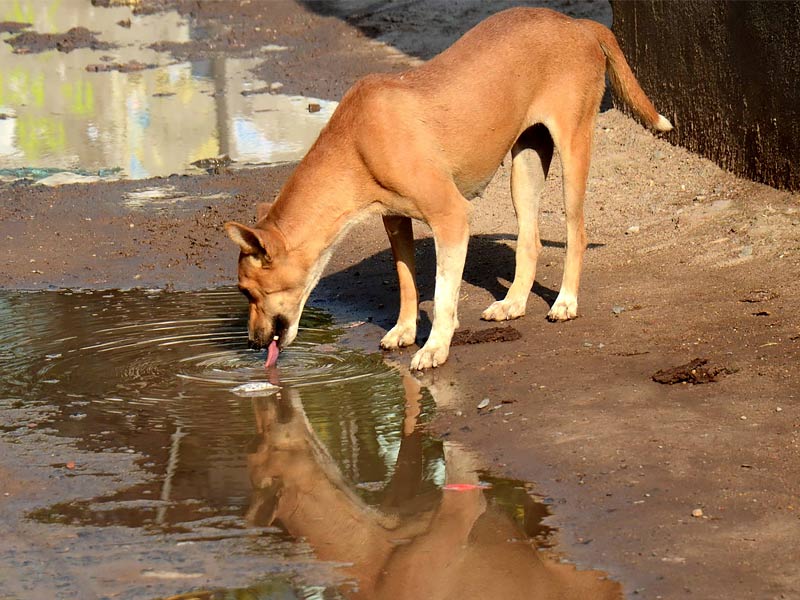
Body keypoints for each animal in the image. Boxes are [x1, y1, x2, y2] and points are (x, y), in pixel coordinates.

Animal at [223, 7, 668, 368]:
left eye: (247, 292)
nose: (252, 343)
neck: (354, 142)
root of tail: (577, 23)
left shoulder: (451, 217)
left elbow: (442, 295)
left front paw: (435, 346)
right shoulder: (395, 220)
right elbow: (406, 280)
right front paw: (404, 330)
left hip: (573, 151)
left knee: (577, 232)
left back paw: (565, 302)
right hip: (525, 166)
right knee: (531, 240)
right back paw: (513, 302)